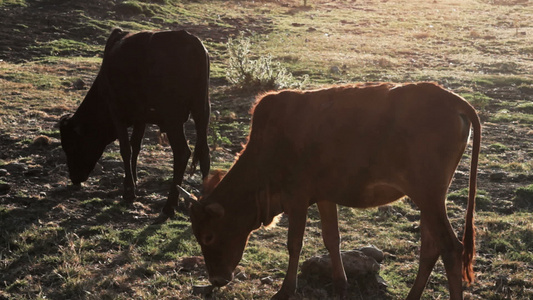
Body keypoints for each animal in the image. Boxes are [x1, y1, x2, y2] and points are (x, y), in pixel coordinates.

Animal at [61, 28, 211, 223]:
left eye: (71, 146)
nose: (74, 178)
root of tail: (191, 40)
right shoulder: (141, 117)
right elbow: (136, 146)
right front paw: (133, 179)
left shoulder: (116, 111)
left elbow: (125, 148)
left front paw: (128, 191)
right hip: (202, 111)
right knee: (205, 153)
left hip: (173, 119)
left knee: (182, 153)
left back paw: (168, 207)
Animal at [188, 82, 482, 300]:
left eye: (209, 236)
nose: (216, 278)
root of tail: (453, 99)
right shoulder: (324, 196)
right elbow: (332, 238)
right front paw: (341, 284)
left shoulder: (297, 197)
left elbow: (294, 244)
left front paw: (285, 289)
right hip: (428, 200)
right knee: (431, 247)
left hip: (428, 196)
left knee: (451, 248)